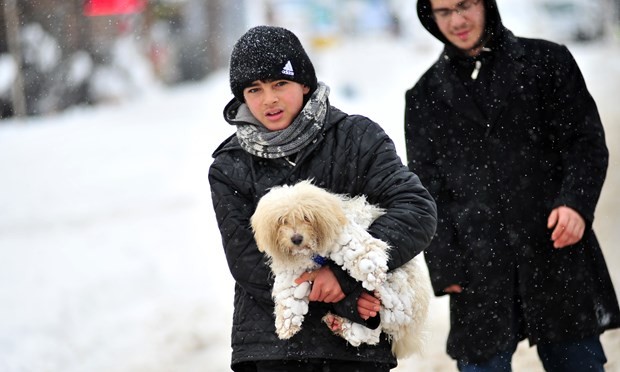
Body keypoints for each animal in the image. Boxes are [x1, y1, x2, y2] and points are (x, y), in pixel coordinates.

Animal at [249, 182, 428, 358]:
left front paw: (373, 272)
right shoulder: (294, 269)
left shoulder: (343, 237)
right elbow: (289, 293)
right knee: (371, 332)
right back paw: (338, 324)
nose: (296, 239)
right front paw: (287, 322)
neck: (312, 252)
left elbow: (361, 251)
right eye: (282, 220)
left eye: (306, 217)